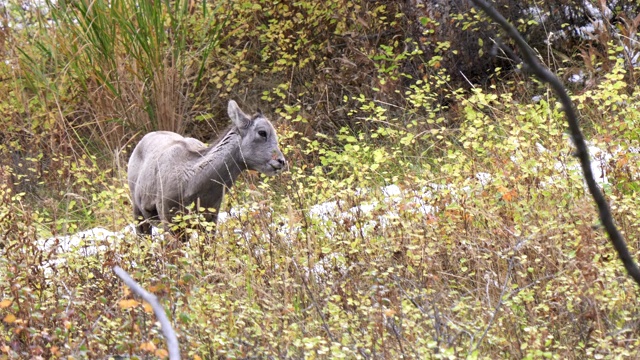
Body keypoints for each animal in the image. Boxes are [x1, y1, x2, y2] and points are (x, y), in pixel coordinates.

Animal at [127, 100, 284, 238]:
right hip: (139, 213)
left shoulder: (210, 221)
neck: (191, 185)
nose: (281, 161)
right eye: (262, 132)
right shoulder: (169, 220)